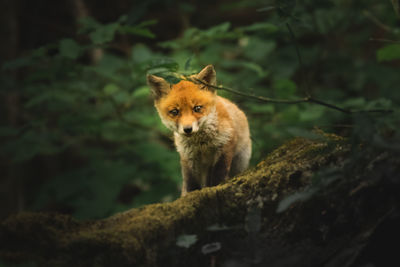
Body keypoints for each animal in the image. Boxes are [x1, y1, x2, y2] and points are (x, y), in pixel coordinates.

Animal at [148, 65, 252, 197]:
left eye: (197, 108)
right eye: (175, 112)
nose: (188, 129)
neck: (201, 144)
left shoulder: (225, 146)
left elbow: (219, 174)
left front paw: (216, 187)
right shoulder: (188, 156)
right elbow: (190, 183)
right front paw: (189, 195)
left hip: (240, 161)